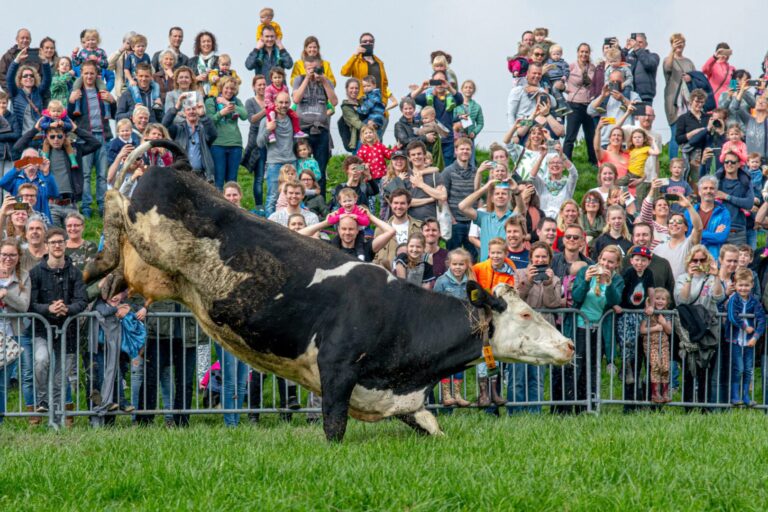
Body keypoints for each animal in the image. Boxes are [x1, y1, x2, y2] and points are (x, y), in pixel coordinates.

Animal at [85, 142, 576, 442]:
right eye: (526, 315)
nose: (570, 345)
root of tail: (183, 170)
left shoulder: (403, 400)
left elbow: (436, 428)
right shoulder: (337, 372)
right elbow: (334, 430)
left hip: (151, 269)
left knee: (117, 265)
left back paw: (97, 285)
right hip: (148, 233)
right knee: (112, 196)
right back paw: (91, 261)